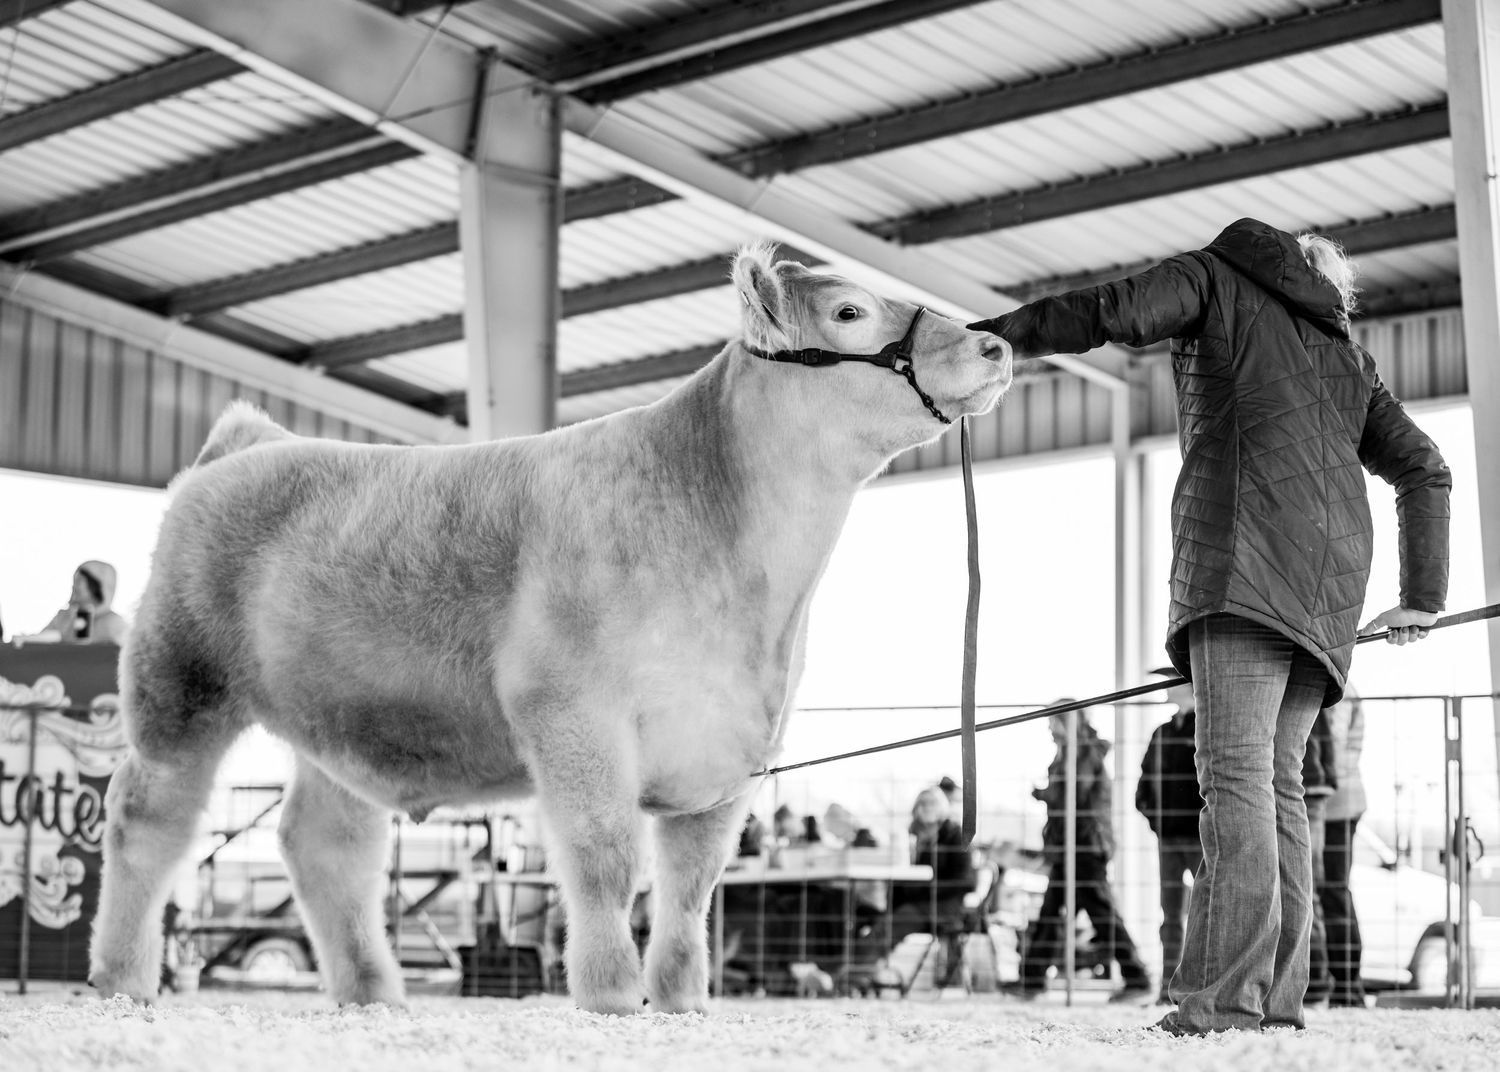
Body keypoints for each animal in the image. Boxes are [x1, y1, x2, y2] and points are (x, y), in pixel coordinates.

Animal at [88, 242, 1012, 1015]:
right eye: (850, 311)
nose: (997, 345)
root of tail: (252, 442)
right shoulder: (574, 711)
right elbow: (607, 860)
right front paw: (610, 996)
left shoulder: (739, 742)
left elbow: (692, 886)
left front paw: (682, 1003)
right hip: (180, 681)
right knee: (147, 820)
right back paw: (123, 979)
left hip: (336, 714)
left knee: (326, 843)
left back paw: (373, 994)